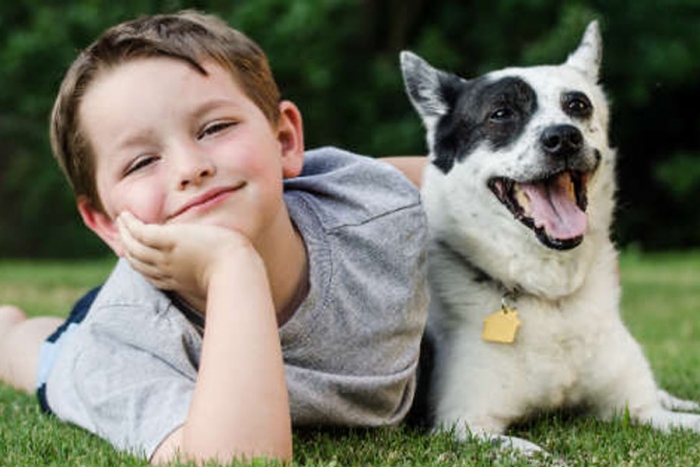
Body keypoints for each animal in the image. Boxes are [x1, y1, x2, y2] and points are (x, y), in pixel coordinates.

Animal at [400, 21, 700, 454]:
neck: (552, 297)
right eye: (501, 113)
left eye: (578, 105)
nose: (564, 138)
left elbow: (673, 415)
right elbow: (539, 454)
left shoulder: (641, 410)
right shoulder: (467, 425)